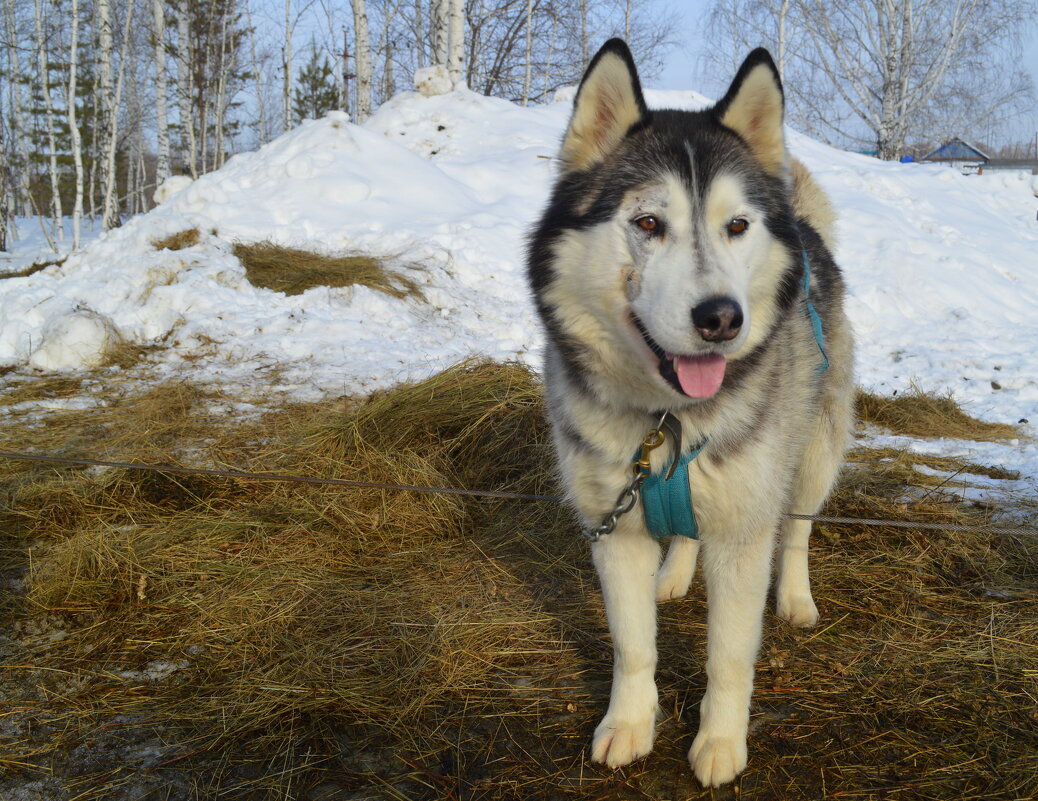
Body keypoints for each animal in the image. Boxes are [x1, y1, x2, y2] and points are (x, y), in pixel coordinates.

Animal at [527, 40, 851, 784]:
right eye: (648, 223)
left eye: (737, 226)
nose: (721, 319)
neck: (667, 419)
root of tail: (806, 226)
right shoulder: (612, 528)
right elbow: (633, 646)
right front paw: (627, 723)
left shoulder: (742, 535)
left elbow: (728, 655)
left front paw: (721, 741)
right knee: (683, 533)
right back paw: (673, 574)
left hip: (814, 452)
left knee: (797, 529)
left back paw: (795, 597)